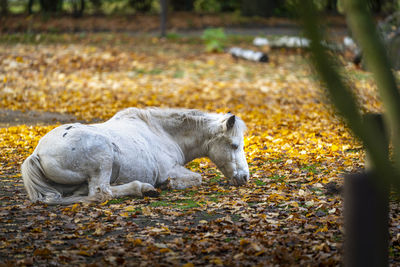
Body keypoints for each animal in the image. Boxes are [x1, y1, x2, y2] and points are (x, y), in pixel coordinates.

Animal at [21, 108, 250, 205]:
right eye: (235, 145)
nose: (245, 177)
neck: (163, 132)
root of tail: (37, 154)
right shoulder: (170, 169)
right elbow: (197, 178)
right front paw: (169, 184)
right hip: (103, 159)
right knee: (102, 193)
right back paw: (144, 188)